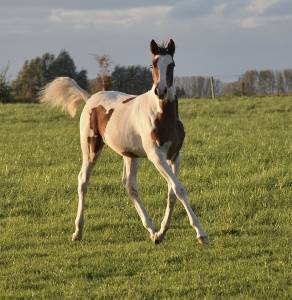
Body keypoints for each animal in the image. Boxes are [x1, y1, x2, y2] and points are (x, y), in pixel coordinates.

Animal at [41, 38, 210, 245]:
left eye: (171, 65)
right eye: (153, 64)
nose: (160, 90)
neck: (163, 115)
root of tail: (90, 98)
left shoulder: (175, 155)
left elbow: (172, 192)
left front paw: (161, 233)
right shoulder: (156, 156)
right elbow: (179, 189)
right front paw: (201, 233)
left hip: (130, 155)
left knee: (130, 185)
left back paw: (151, 229)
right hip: (90, 148)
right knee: (83, 180)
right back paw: (78, 232)